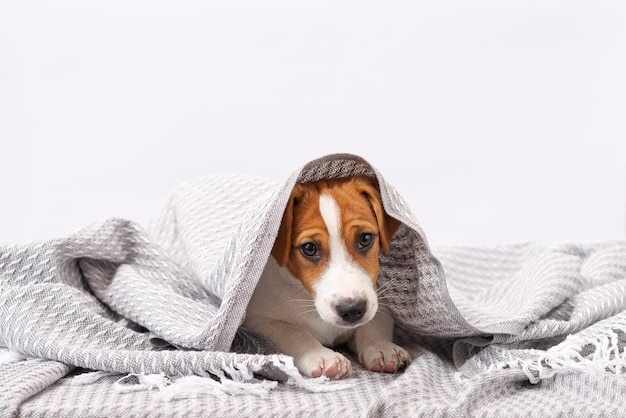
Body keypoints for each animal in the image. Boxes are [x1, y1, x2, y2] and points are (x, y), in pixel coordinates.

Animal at [243, 175, 410, 378]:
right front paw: (322, 355)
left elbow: (375, 321)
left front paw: (382, 347)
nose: (352, 309)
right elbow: (294, 332)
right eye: (309, 248)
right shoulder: (257, 320)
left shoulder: (377, 296)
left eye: (365, 238)